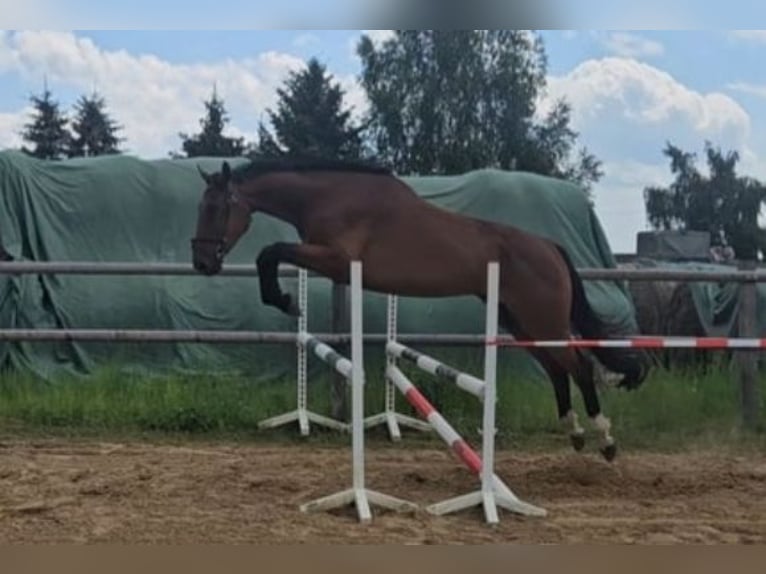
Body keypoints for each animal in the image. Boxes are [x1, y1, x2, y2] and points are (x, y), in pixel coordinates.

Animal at [190, 158, 648, 464]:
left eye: (216, 208)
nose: (202, 263)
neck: (328, 195)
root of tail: (550, 247)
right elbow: (270, 254)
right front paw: (285, 300)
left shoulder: (336, 260)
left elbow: (270, 252)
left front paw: (284, 300)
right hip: (517, 321)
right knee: (557, 369)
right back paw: (574, 433)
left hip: (541, 318)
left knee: (579, 365)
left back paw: (605, 440)